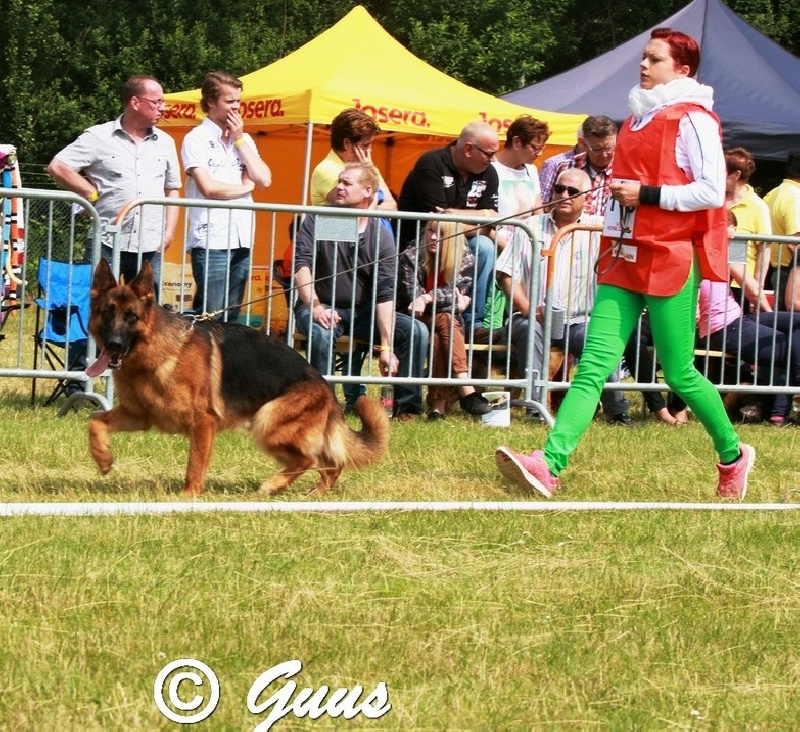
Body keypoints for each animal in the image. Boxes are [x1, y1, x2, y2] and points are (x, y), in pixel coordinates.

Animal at [86, 258, 390, 498]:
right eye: (108, 312)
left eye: (131, 316)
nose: (113, 344)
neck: (156, 352)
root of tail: (326, 387)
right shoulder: (139, 416)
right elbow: (95, 421)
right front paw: (103, 458)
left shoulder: (203, 422)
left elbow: (194, 465)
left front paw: (187, 496)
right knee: (332, 463)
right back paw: (313, 494)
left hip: (268, 425)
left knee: (310, 459)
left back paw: (273, 485)